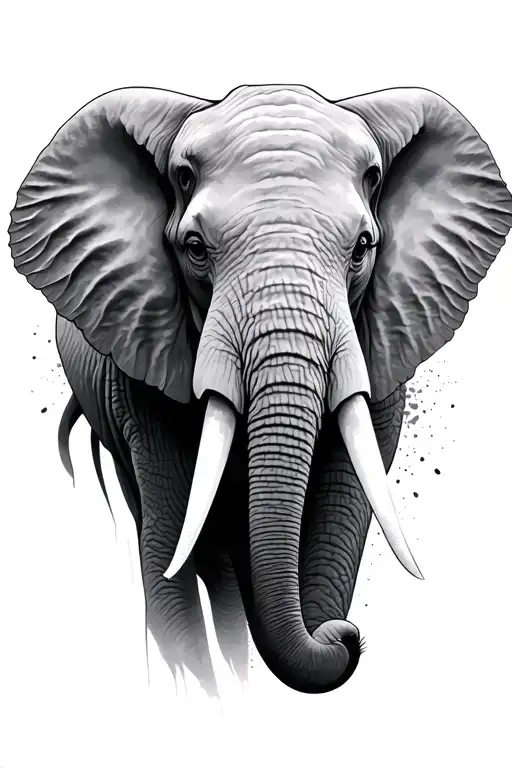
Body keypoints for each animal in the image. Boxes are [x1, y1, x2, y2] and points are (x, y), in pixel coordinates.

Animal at [8, 83, 512, 697]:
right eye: (195, 249)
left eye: (362, 249)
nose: (345, 637)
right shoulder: (138, 370)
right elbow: (170, 545)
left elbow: (337, 526)